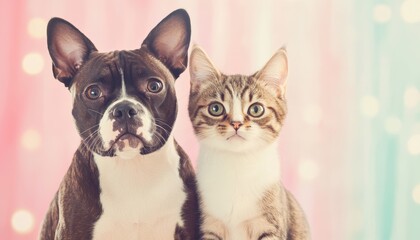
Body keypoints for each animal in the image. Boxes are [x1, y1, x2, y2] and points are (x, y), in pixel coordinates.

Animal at [189, 45, 310, 240]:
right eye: (215, 108)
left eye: (256, 109)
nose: (236, 123)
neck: (237, 165)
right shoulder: (209, 224)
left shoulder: (270, 223)